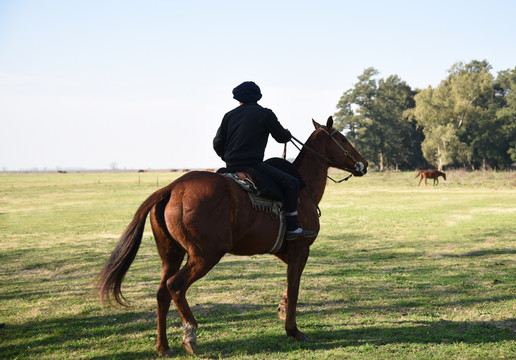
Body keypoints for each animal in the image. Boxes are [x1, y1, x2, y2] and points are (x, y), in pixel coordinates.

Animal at [97, 116, 368, 356]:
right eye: (343, 139)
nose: (363, 163)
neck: (303, 187)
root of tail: (171, 188)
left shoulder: (284, 251)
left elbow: (290, 286)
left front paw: (282, 308)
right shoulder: (300, 249)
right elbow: (294, 288)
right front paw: (293, 330)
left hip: (171, 255)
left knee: (162, 292)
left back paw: (163, 347)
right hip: (205, 255)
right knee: (176, 286)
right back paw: (190, 335)